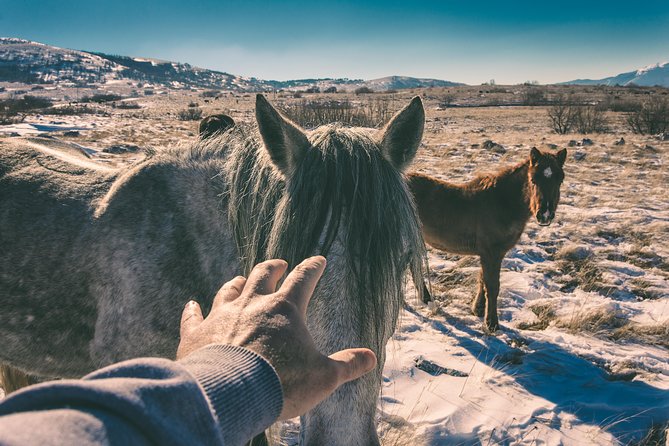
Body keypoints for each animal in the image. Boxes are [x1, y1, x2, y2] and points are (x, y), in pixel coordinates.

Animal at [408, 148, 564, 330]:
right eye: (533, 179)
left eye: (560, 180)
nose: (545, 214)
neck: (501, 203)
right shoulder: (491, 253)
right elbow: (493, 286)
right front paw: (492, 323)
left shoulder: (490, 254)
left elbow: (483, 280)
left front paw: (478, 310)